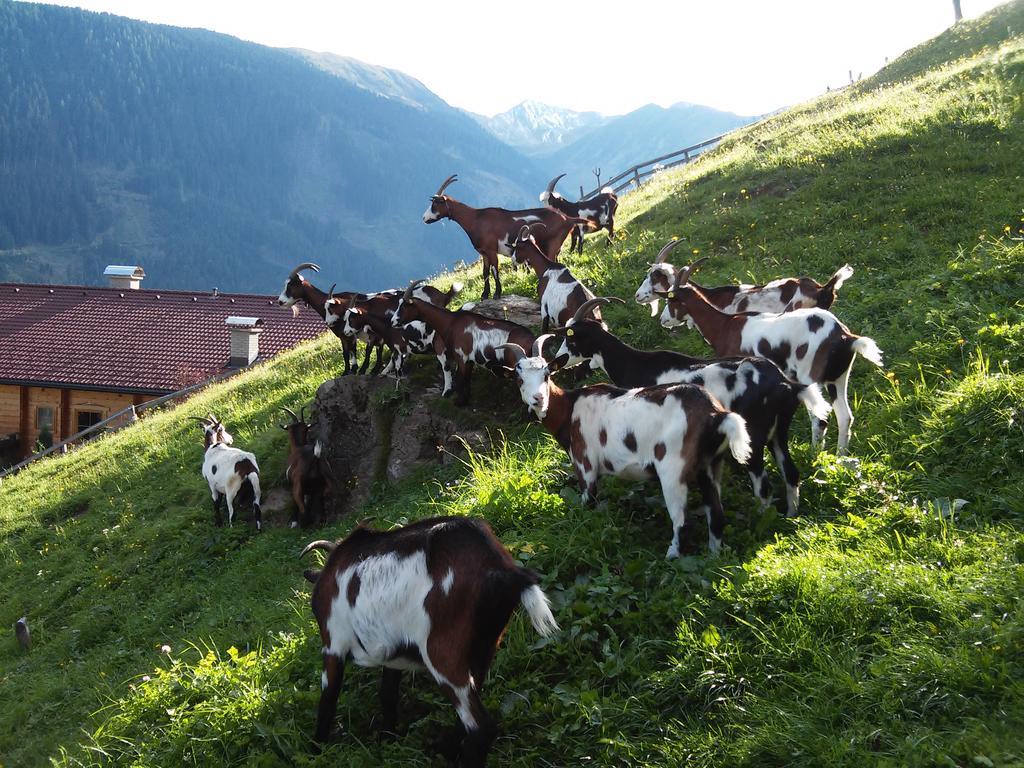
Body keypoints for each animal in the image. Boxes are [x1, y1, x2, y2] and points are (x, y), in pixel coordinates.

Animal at [299, 514, 557, 765]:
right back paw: (448, 750)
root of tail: (500, 568)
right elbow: (387, 694)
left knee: (481, 726)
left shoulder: (333, 643)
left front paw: (315, 750)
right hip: (485, 645)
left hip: (441, 651)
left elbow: (328, 698)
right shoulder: (392, 655)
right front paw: (387, 738)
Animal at [495, 339, 753, 557]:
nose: (538, 399)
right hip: (710, 466)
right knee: (717, 516)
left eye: (547, 374)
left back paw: (671, 557)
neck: (570, 408)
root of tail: (715, 414)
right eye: (519, 379)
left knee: (682, 522)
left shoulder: (585, 464)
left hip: (672, 468)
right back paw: (713, 558)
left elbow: (589, 504)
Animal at [552, 299, 831, 518]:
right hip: (778, 433)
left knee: (763, 485)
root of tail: (785, 384)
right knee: (791, 474)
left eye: (570, 336)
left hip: (755, 435)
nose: (558, 360)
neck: (634, 362)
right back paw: (790, 515)